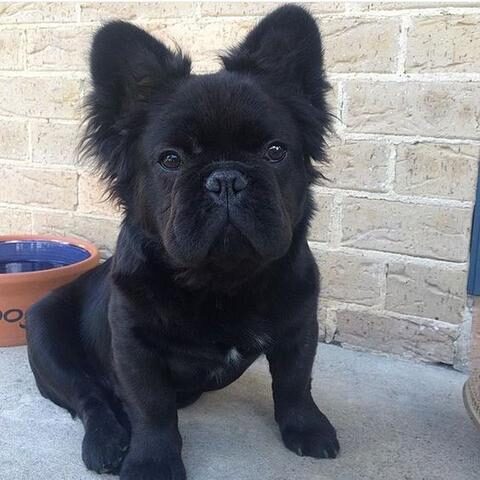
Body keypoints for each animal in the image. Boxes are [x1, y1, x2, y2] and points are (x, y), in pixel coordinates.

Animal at [26, 4, 340, 480]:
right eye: (170, 160)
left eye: (275, 151)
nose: (226, 178)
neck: (221, 279)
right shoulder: (134, 346)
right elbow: (152, 408)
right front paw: (152, 462)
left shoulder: (299, 326)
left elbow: (295, 382)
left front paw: (307, 428)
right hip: (44, 335)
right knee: (89, 395)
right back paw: (108, 441)